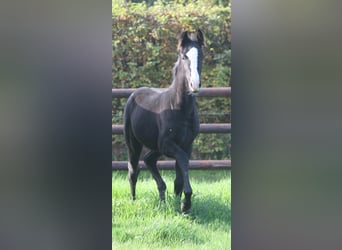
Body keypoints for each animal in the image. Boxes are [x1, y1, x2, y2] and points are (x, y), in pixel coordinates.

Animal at [123, 29, 203, 213]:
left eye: (201, 55)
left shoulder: (186, 144)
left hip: (156, 147)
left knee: (149, 159)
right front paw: (185, 203)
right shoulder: (168, 144)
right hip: (134, 143)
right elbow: (182, 160)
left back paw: (162, 198)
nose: (194, 85)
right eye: (184, 56)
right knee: (133, 170)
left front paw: (181, 205)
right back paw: (133, 200)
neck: (179, 108)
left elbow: (179, 175)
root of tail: (134, 93)